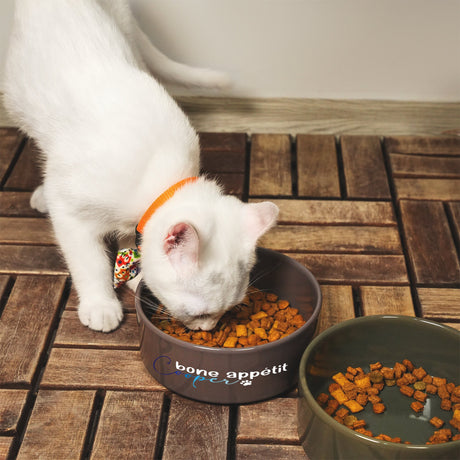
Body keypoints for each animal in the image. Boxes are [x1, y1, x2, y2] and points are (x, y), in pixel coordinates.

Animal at [3, 0, 278, 330]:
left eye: (230, 309)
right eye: (199, 313)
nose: (208, 328)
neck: (158, 178)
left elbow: (127, 242)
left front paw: (133, 275)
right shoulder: (71, 217)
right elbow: (90, 264)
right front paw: (101, 304)